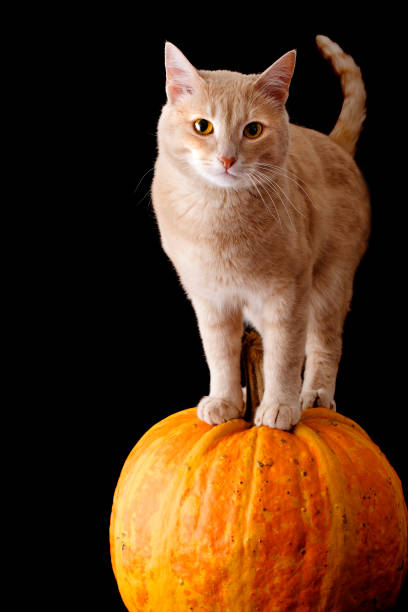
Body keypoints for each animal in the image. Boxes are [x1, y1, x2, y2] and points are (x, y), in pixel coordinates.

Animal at [151, 34, 370, 430]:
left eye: (252, 130)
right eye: (203, 126)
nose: (227, 159)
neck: (219, 216)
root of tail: (333, 143)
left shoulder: (288, 294)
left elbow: (285, 355)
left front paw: (280, 406)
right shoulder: (210, 299)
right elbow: (220, 354)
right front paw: (225, 401)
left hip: (330, 285)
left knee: (324, 343)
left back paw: (313, 396)